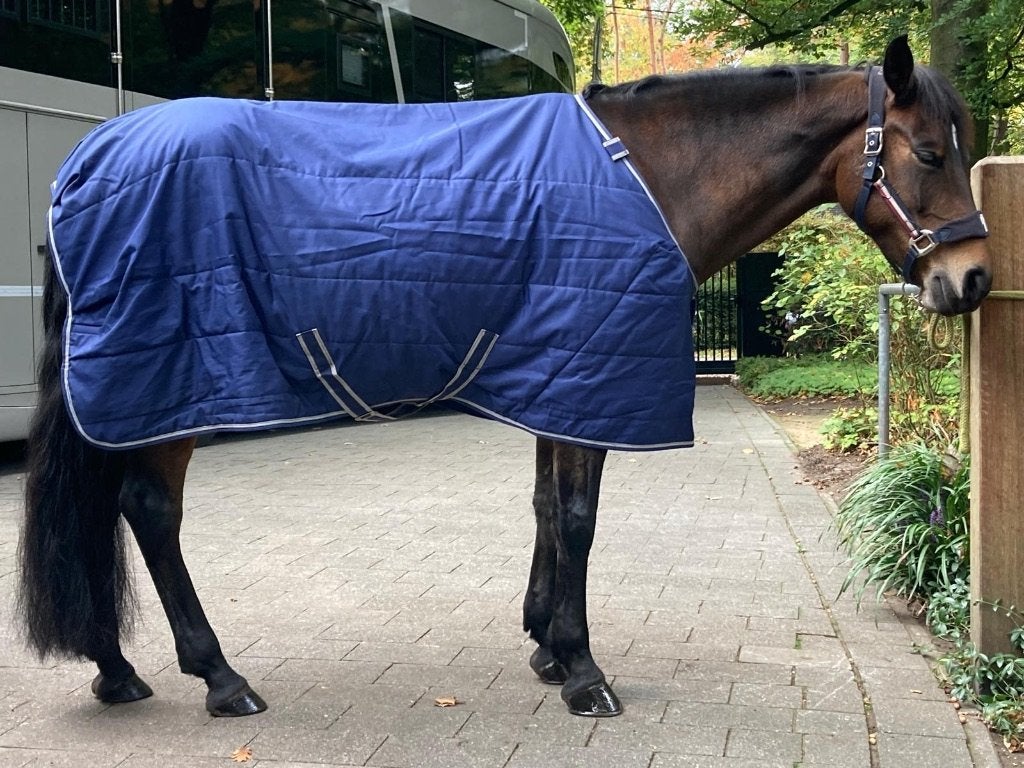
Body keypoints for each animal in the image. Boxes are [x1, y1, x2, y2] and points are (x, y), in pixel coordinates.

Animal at [18, 36, 991, 720]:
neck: (646, 179)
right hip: (173, 392)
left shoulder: (559, 379)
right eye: (929, 154)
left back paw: (117, 669)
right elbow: (579, 519)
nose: (973, 279)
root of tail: (85, 165)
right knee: (150, 512)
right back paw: (219, 676)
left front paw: (546, 648)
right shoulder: (591, 381)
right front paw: (584, 669)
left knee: (111, 511)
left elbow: (545, 513)